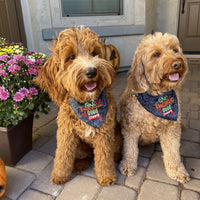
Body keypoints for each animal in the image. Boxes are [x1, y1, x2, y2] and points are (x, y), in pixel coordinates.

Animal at [34, 26, 120, 186]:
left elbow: (104, 156)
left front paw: (106, 176)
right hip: (80, 145)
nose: (91, 71)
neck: (87, 104)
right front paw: (59, 175)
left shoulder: (105, 133)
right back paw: (79, 164)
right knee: (84, 156)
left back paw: (116, 156)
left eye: (94, 53)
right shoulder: (66, 132)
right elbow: (62, 155)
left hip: (116, 134)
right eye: (71, 57)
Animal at [119, 32, 190, 183]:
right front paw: (128, 165)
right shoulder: (130, 128)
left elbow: (173, 152)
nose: (177, 64)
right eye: (156, 54)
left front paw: (177, 171)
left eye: (175, 50)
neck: (157, 96)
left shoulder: (171, 129)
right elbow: (130, 149)